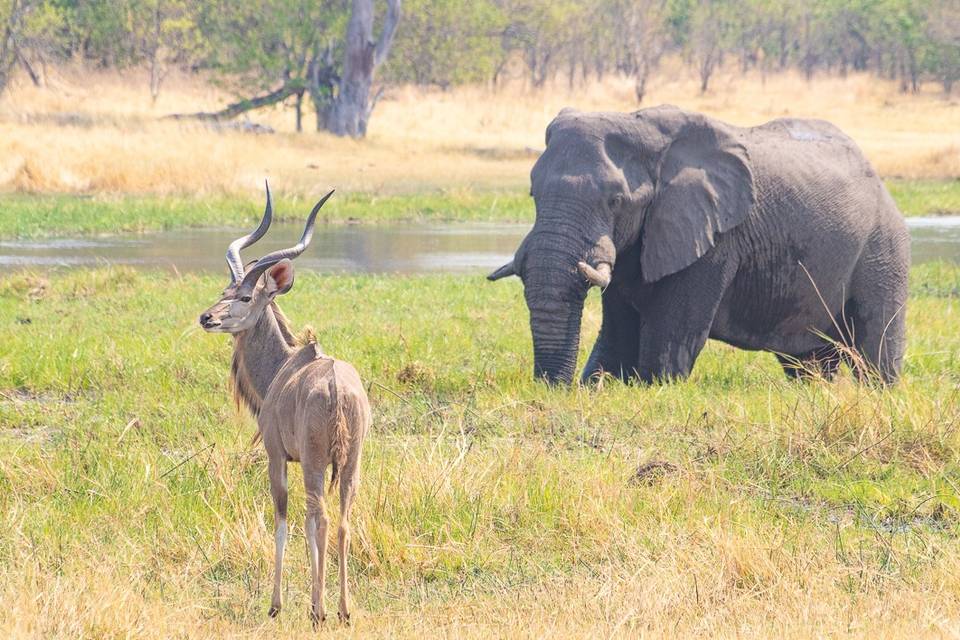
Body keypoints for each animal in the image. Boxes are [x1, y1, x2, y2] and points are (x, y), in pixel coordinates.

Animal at [198, 185, 368, 624]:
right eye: (223, 293)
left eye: (244, 297)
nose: (207, 317)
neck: (285, 365)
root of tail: (336, 386)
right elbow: (307, 527)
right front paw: (311, 601)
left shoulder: (277, 456)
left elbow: (283, 521)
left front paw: (278, 605)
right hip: (351, 464)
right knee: (342, 521)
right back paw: (343, 610)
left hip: (314, 462)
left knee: (320, 517)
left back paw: (322, 611)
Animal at [492, 105, 912, 384]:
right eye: (532, 193)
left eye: (615, 200)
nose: (552, 388)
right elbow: (618, 332)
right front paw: (597, 384)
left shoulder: (715, 241)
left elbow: (668, 343)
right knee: (808, 360)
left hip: (883, 247)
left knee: (875, 349)